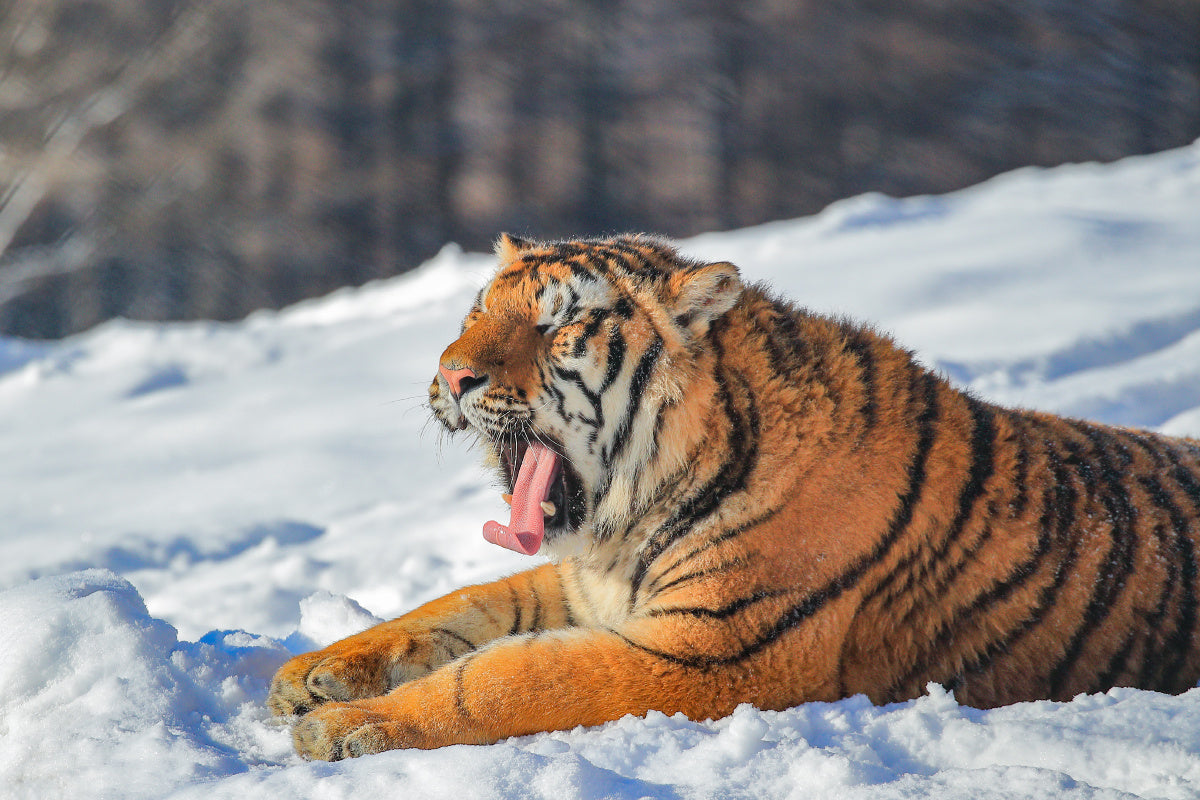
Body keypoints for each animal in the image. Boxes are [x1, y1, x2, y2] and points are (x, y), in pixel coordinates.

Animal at [267, 233, 1200, 760]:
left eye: (557, 325)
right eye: (475, 312)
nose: (450, 374)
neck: (627, 517)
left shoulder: (711, 652)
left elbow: (510, 679)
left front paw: (347, 727)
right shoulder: (584, 588)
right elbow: (457, 608)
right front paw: (312, 675)